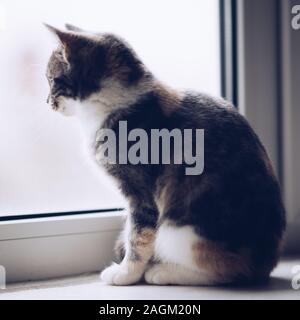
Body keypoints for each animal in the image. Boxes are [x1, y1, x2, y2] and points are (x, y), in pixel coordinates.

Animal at [45, 23, 286, 286]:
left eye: (51, 79)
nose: (47, 102)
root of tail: (267, 263)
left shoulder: (140, 192)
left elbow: (138, 236)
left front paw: (125, 273)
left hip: (182, 231)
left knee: (225, 270)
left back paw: (164, 272)